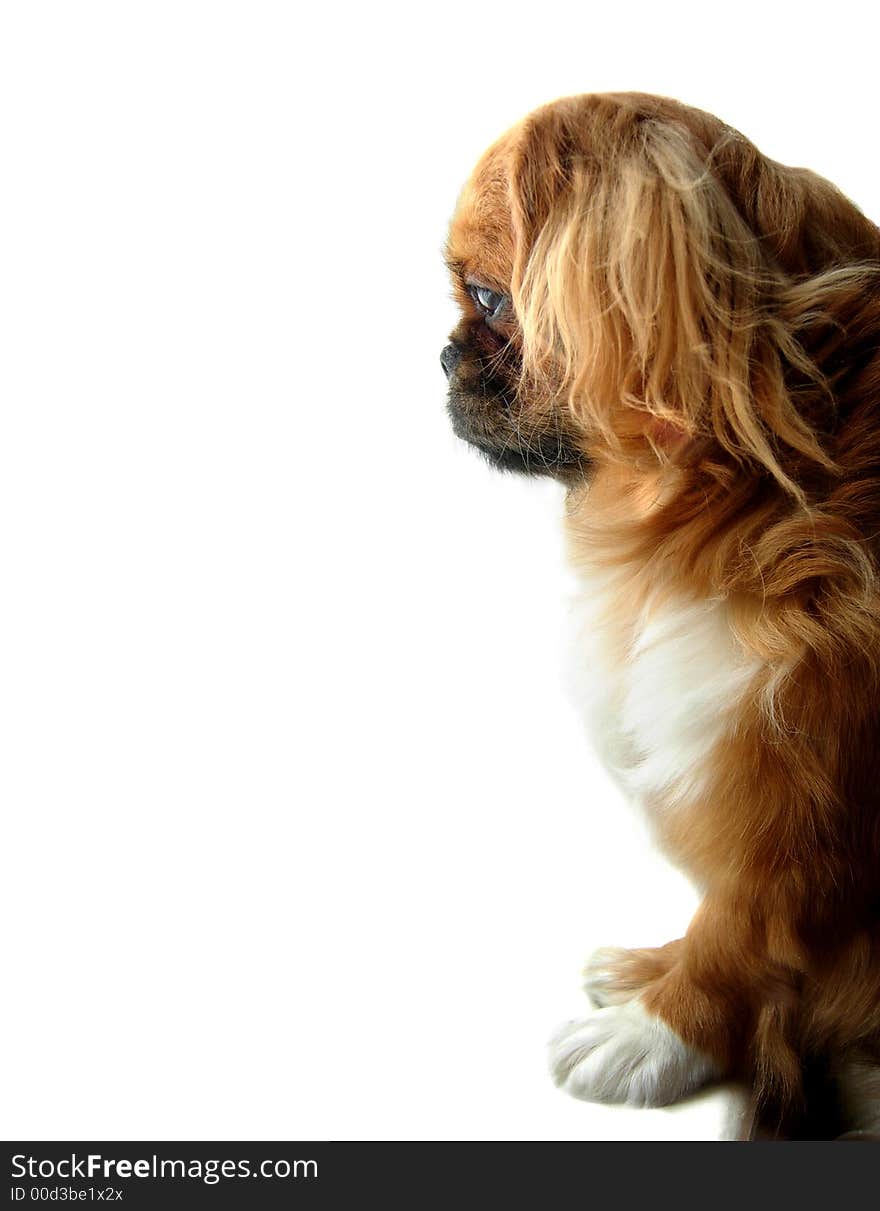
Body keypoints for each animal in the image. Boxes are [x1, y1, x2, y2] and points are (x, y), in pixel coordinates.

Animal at [443, 92, 880, 1133]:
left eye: (488, 300)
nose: (440, 355)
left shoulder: (801, 794)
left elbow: (741, 932)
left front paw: (657, 1031)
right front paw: (649, 971)